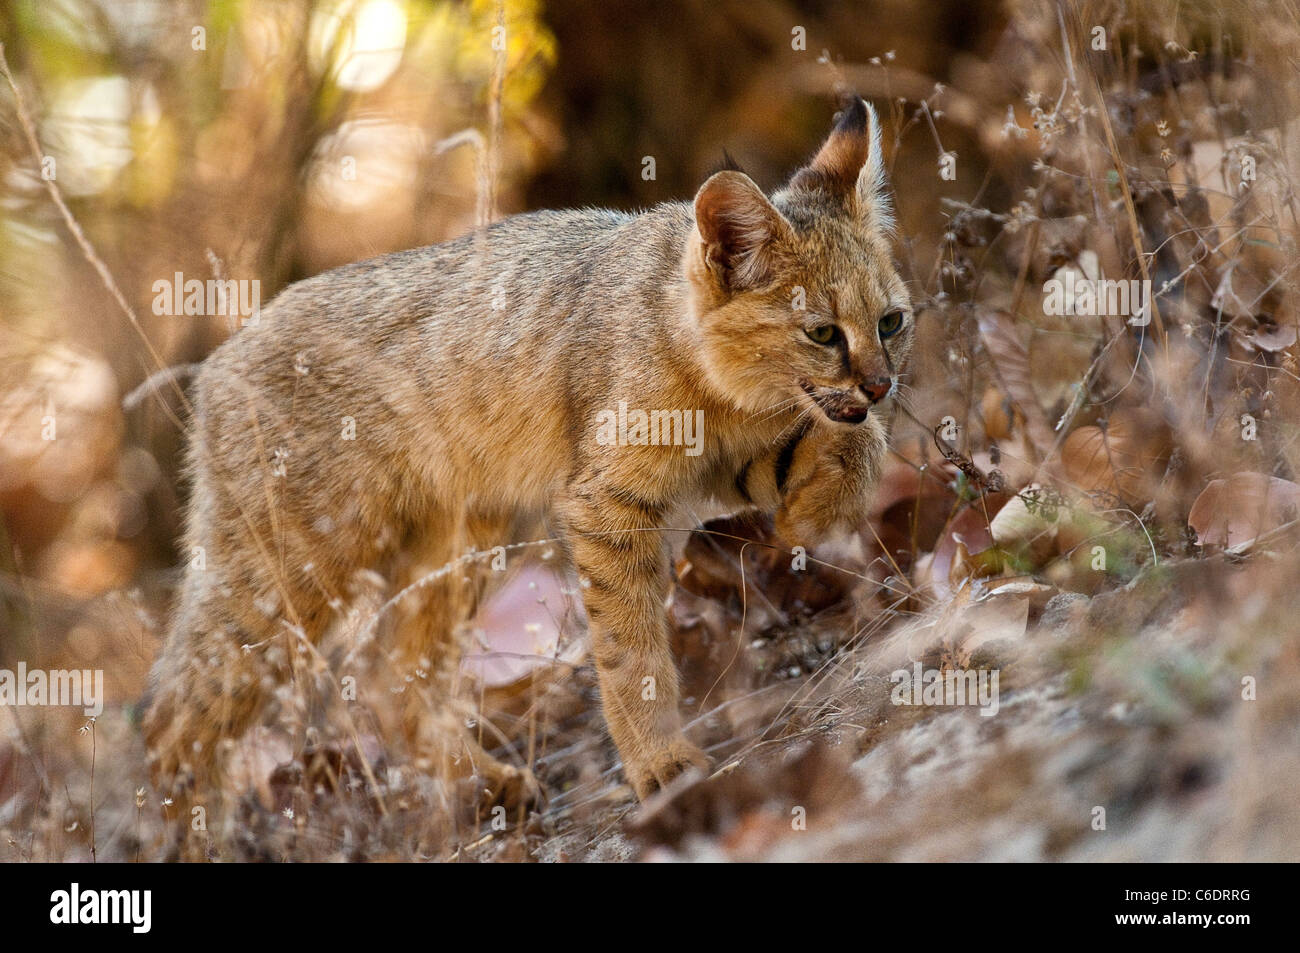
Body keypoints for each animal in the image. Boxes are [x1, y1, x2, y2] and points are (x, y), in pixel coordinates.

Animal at [142, 94, 915, 811]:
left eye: (891, 322)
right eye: (822, 333)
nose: (881, 385)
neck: (721, 383)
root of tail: (222, 355)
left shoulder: (715, 468)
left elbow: (855, 439)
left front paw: (812, 515)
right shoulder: (605, 502)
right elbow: (629, 647)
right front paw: (661, 764)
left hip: (462, 539)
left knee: (391, 679)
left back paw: (481, 784)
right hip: (289, 570)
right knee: (169, 717)